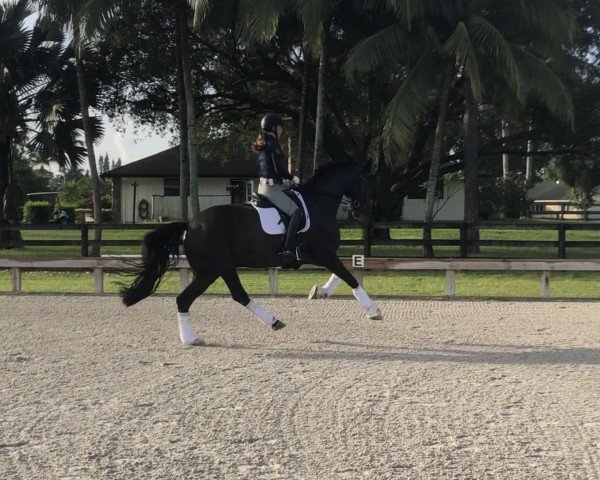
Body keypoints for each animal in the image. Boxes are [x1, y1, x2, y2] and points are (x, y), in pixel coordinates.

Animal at [119, 162, 382, 344]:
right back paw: (191, 339)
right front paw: (374, 311)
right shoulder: (324, 254)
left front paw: (320, 292)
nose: (366, 212)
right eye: (368, 182)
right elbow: (348, 277)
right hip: (209, 271)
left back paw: (274, 321)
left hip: (224, 268)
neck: (319, 203)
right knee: (184, 299)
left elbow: (343, 273)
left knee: (240, 295)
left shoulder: (323, 255)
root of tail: (190, 225)